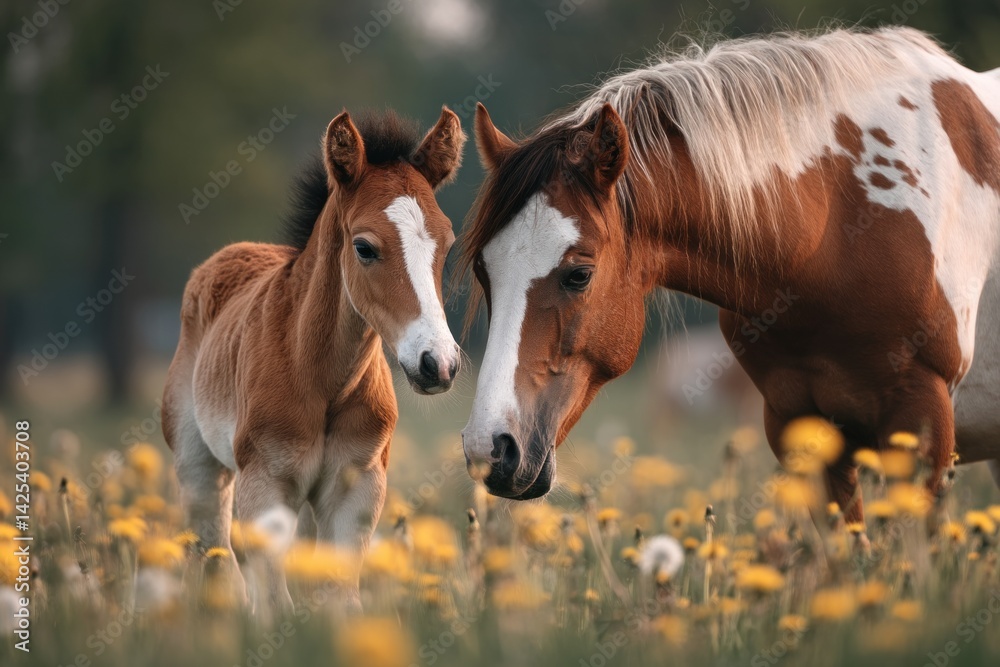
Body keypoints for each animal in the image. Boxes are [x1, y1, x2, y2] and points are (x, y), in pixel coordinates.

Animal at [162, 107, 466, 612]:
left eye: (448, 244)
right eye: (364, 247)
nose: (437, 363)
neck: (321, 380)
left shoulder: (357, 488)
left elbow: (340, 595)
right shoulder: (264, 485)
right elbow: (272, 598)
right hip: (200, 469)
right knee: (216, 557)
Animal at [459, 26, 1000, 523]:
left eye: (578, 275)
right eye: (484, 272)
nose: (490, 449)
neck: (837, 225)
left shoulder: (923, 432)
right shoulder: (799, 428)